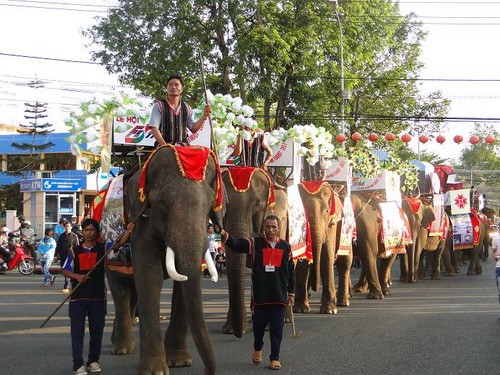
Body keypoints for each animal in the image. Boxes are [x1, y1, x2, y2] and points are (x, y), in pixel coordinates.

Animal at [104, 146, 226, 375]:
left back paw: (120, 342)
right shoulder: (140, 224)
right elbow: (150, 277)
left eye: (210, 204)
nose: (208, 371)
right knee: (119, 288)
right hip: (109, 250)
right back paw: (122, 348)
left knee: (132, 289)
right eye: (161, 203)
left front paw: (179, 362)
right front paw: (155, 371)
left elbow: (182, 283)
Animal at [292, 181, 348, 314]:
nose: (315, 288)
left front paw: (330, 311)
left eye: (327, 211)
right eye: (303, 211)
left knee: (345, 264)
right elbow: (303, 261)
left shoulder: (331, 224)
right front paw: (300, 309)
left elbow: (327, 256)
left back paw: (343, 302)